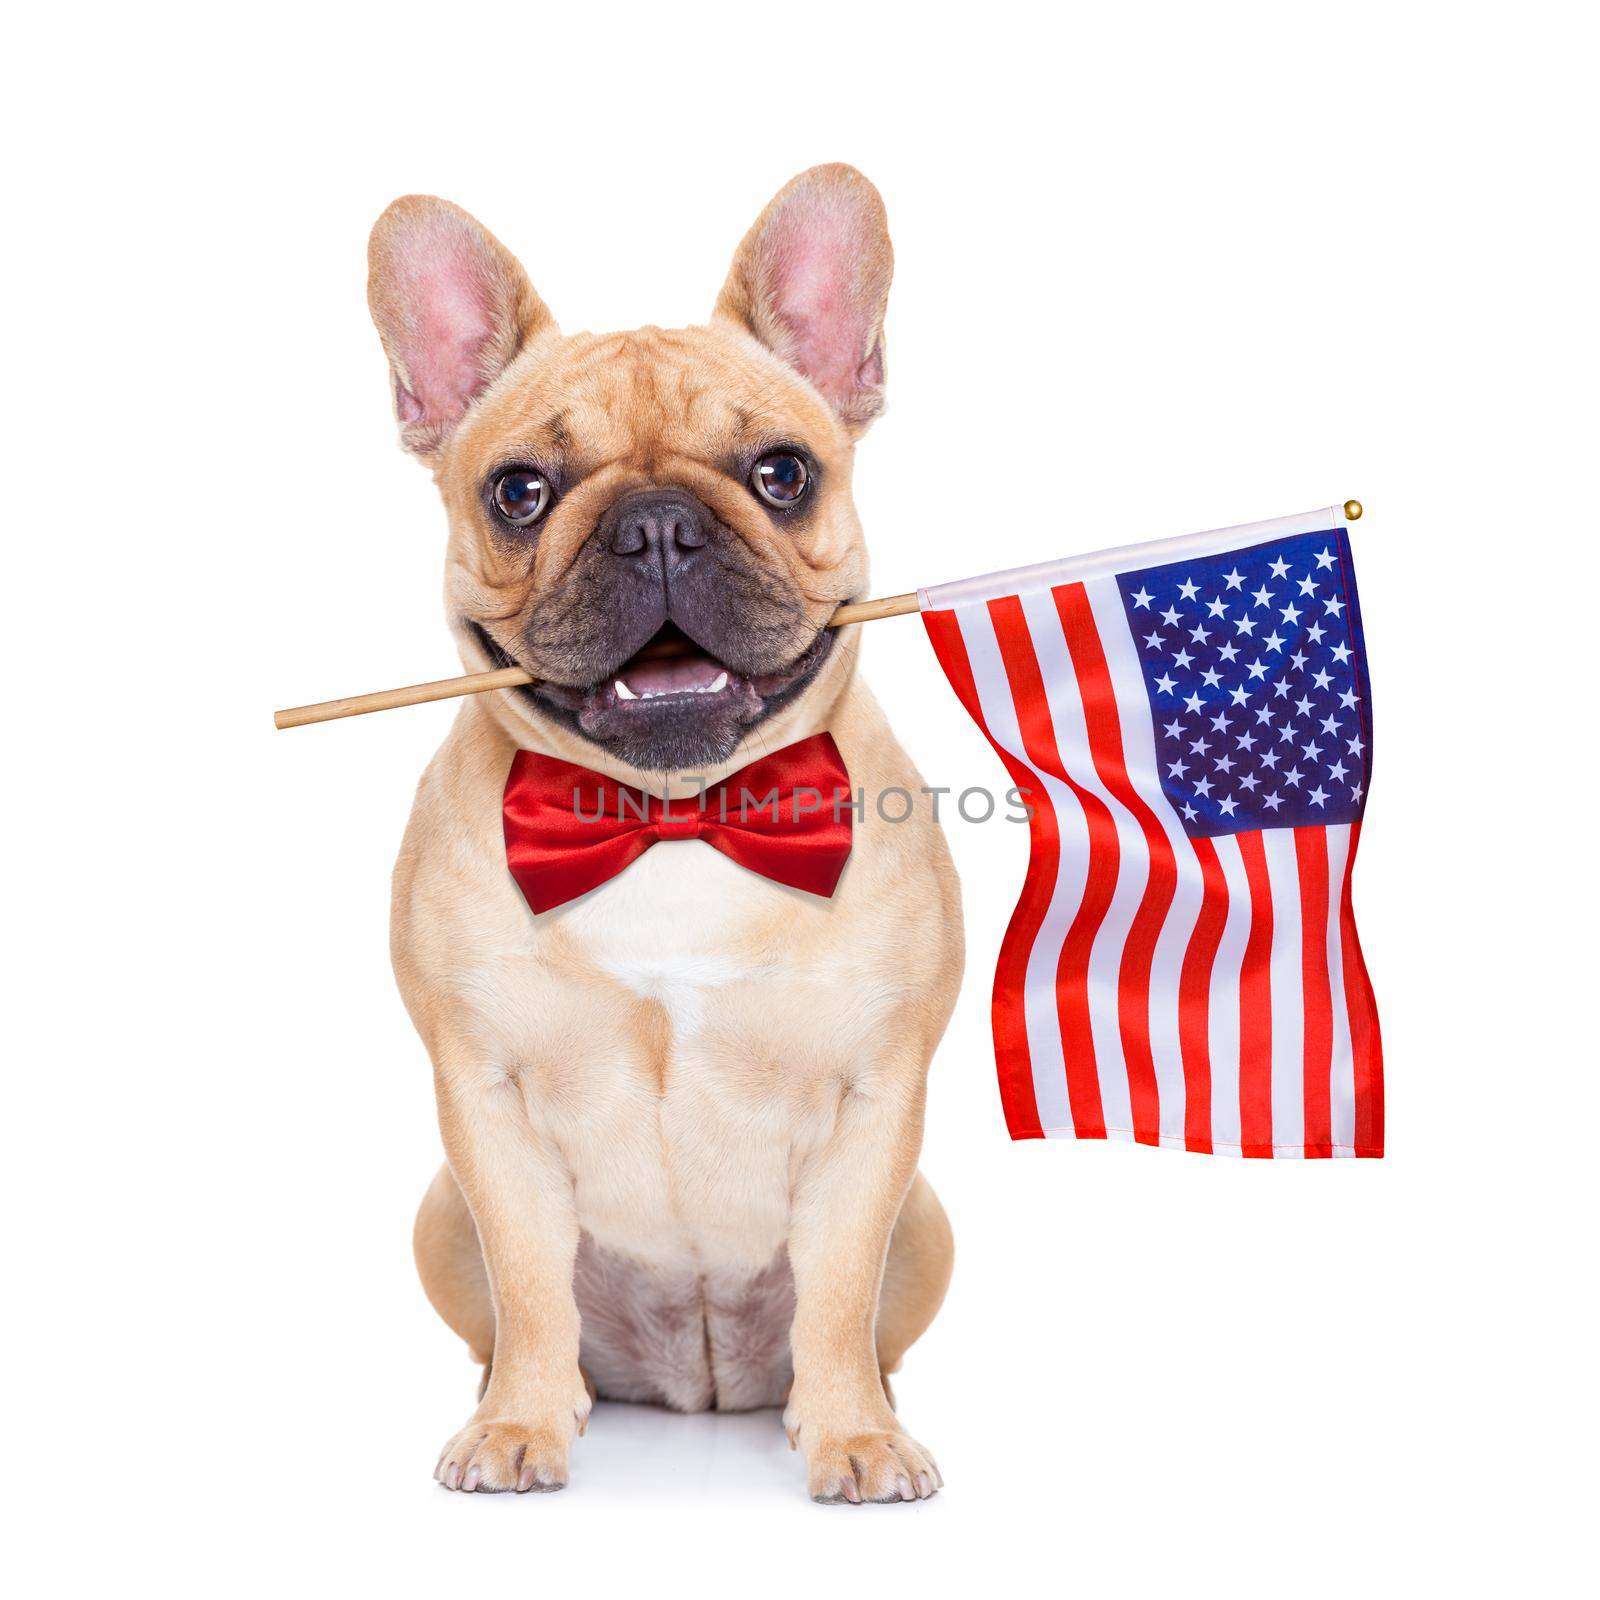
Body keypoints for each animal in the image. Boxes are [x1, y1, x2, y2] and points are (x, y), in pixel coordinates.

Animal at [371, 162, 960, 1497]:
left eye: (783, 472)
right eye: (519, 492)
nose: (653, 523)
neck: (676, 820)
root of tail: (694, 1385)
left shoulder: (875, 1105)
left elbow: (836, 1295)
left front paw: (853, 1434)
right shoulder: (482, 1099)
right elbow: (530, 1284)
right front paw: (520, 1423)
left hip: (928, 1224)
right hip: (436, 1215)